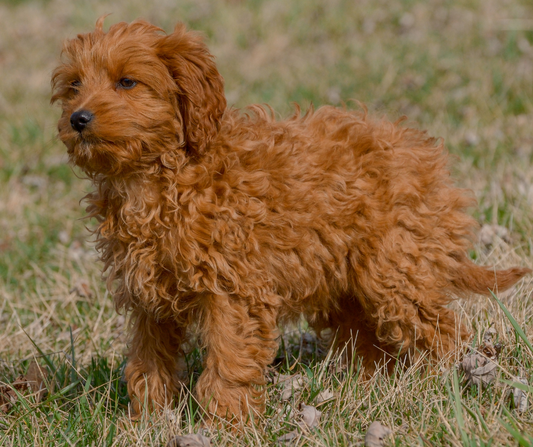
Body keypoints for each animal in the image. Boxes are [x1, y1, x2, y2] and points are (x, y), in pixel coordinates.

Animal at [51, 17, 528, 422]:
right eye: (75, 85)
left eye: (127, 81)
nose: (78, 119)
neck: (159, 179)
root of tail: (430, 165)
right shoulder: (149, 297)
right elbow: (148, 362)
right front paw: (146, 421)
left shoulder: (233, 290)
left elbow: (229, 362)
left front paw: (227, 425)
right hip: (349, 283)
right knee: (373, 340)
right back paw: (372, 389)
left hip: (397, 269)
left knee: (441, 331)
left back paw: (439, 388)